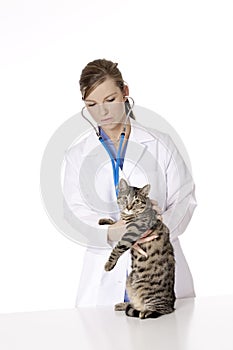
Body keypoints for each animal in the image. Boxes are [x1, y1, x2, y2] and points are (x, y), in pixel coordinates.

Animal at [99, 179, 177, 318]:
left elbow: (117, 248)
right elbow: (115, 222)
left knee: (160, 310)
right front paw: (104, 221)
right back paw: (124, 305)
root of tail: (171, 304)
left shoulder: (133, 232)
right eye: (125, 198)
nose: (128, 207)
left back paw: (145, 312)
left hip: (146, 290)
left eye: (136, 201)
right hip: (129, 282)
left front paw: (109, 264)